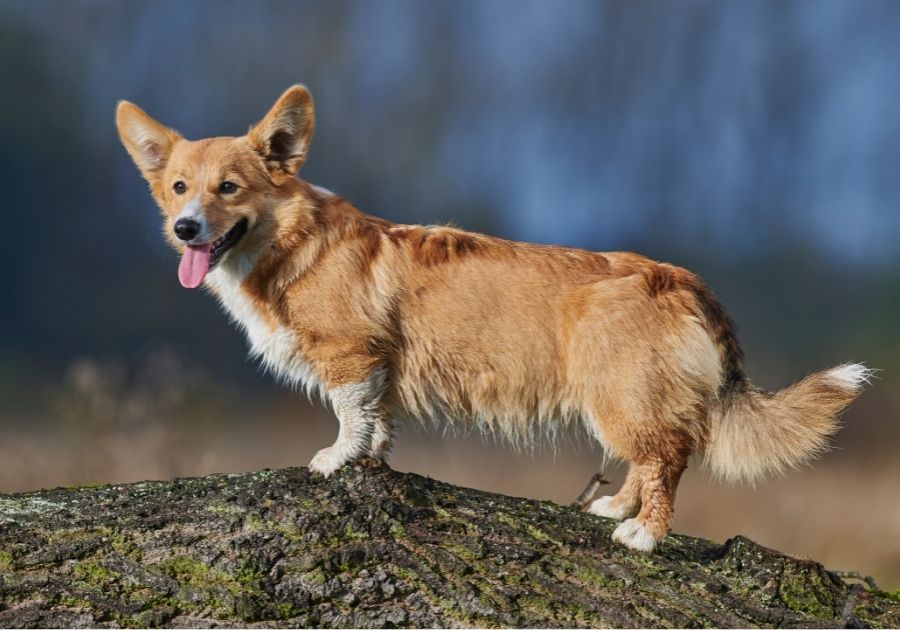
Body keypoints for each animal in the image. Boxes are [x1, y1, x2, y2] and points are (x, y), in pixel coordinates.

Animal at [118, 85, 872, 552]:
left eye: (229, 188)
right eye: (179, 187)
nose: (185, 229)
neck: (289, 240)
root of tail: (684, 281)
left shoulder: (351, 357)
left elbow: (348, 414)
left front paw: (336, 460)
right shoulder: (380, 367)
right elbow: (378, 422)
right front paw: (372, 459)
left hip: (621, 396)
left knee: (669, 459)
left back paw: (644, 536)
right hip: (626, 400)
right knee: (652, 456)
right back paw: (613, 510)